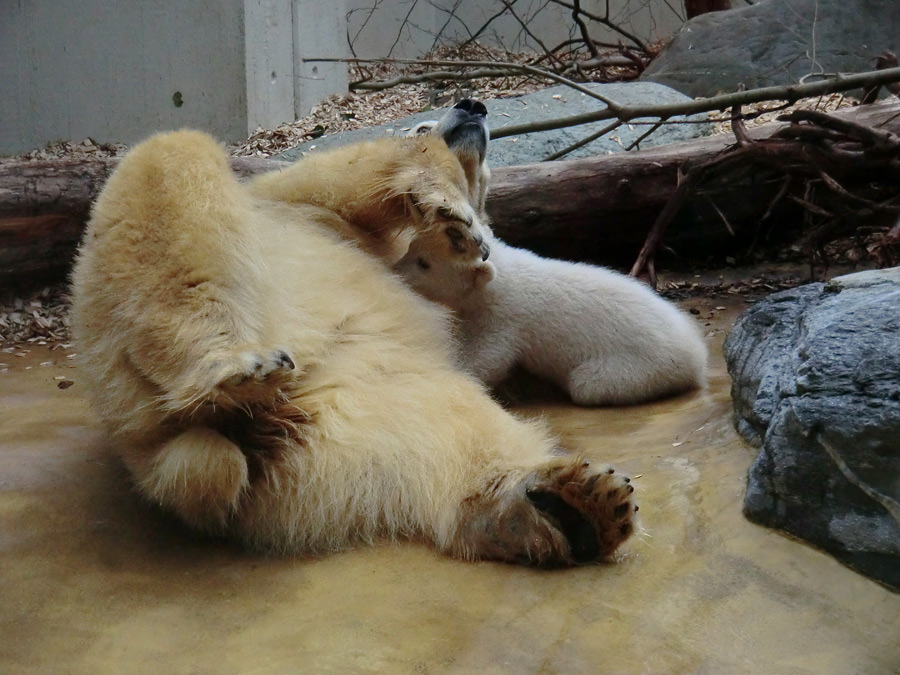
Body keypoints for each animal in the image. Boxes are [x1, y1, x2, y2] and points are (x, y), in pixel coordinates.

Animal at [70, 103, 636, 568]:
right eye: (425, 121)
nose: (471, 105)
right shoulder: (301, 207)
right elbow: (340, 180)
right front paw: (447, 211)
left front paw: (456, 237)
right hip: (123, 357)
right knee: (169, 162)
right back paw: (232, 369)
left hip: (357, 405)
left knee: (448, 427)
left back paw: (567, 507)